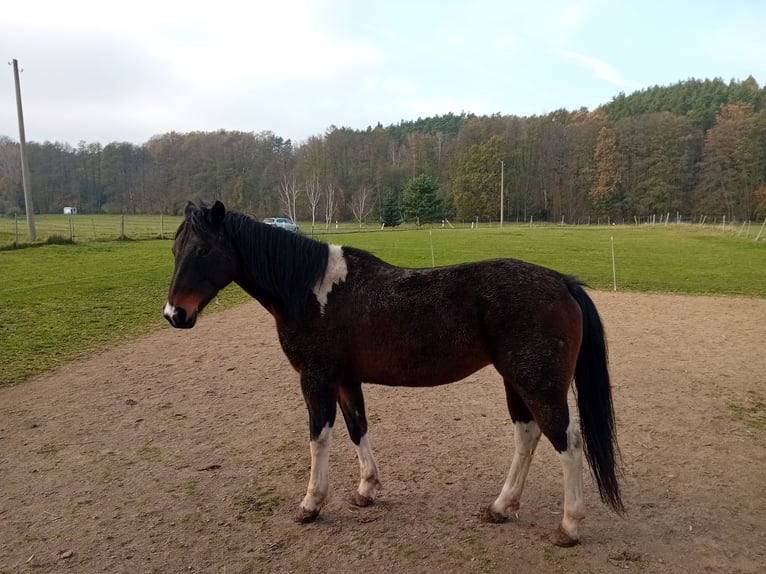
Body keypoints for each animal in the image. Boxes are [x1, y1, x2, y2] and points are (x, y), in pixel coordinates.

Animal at [162, 202, 624, 548]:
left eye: (203, 252)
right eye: (175, 250)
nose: (174, 314)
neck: (311, 290)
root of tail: (561, 281)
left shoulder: (316, 379)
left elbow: (319, 438)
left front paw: (311, 504)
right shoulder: (346, 381)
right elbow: (357, 429)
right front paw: (366, 490)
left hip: (539, 385)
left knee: (568, 442)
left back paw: (568, 527)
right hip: (517, 382)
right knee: (527, 436)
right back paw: (501, 507)